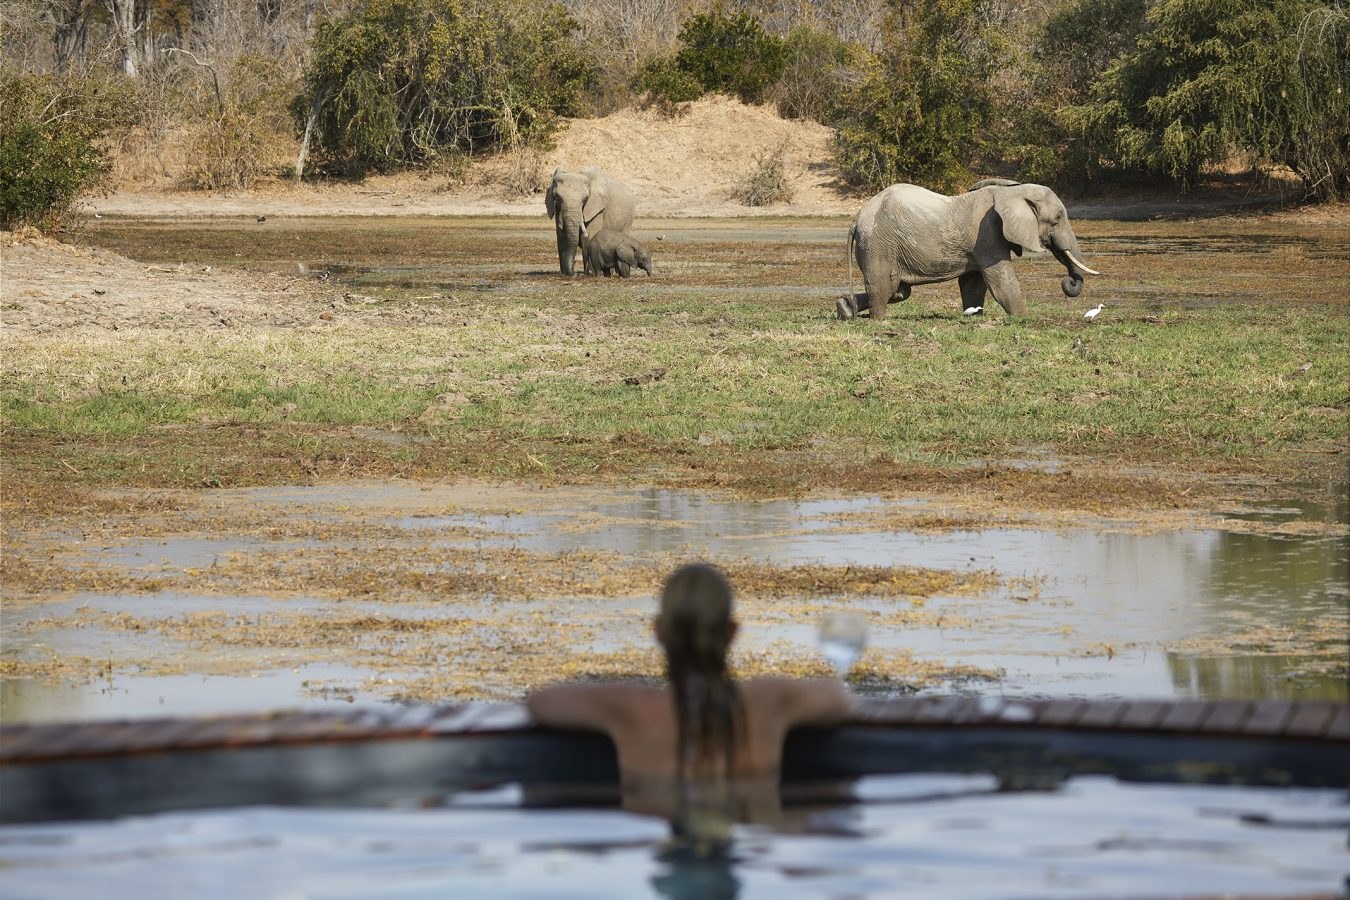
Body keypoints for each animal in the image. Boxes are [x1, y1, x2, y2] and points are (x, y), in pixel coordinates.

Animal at [837, 180, 1100, 319]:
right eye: (1057, 218)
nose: (1068, 282)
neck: (1012, 191)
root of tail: (856, 219)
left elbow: (973, 283)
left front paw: (974, 316)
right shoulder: (988, 235)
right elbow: (1001, 282)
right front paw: (1024, 318)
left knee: (898, 291)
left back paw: (844, 308)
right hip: (878, 245)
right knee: (885, 286)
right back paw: (877, 320)